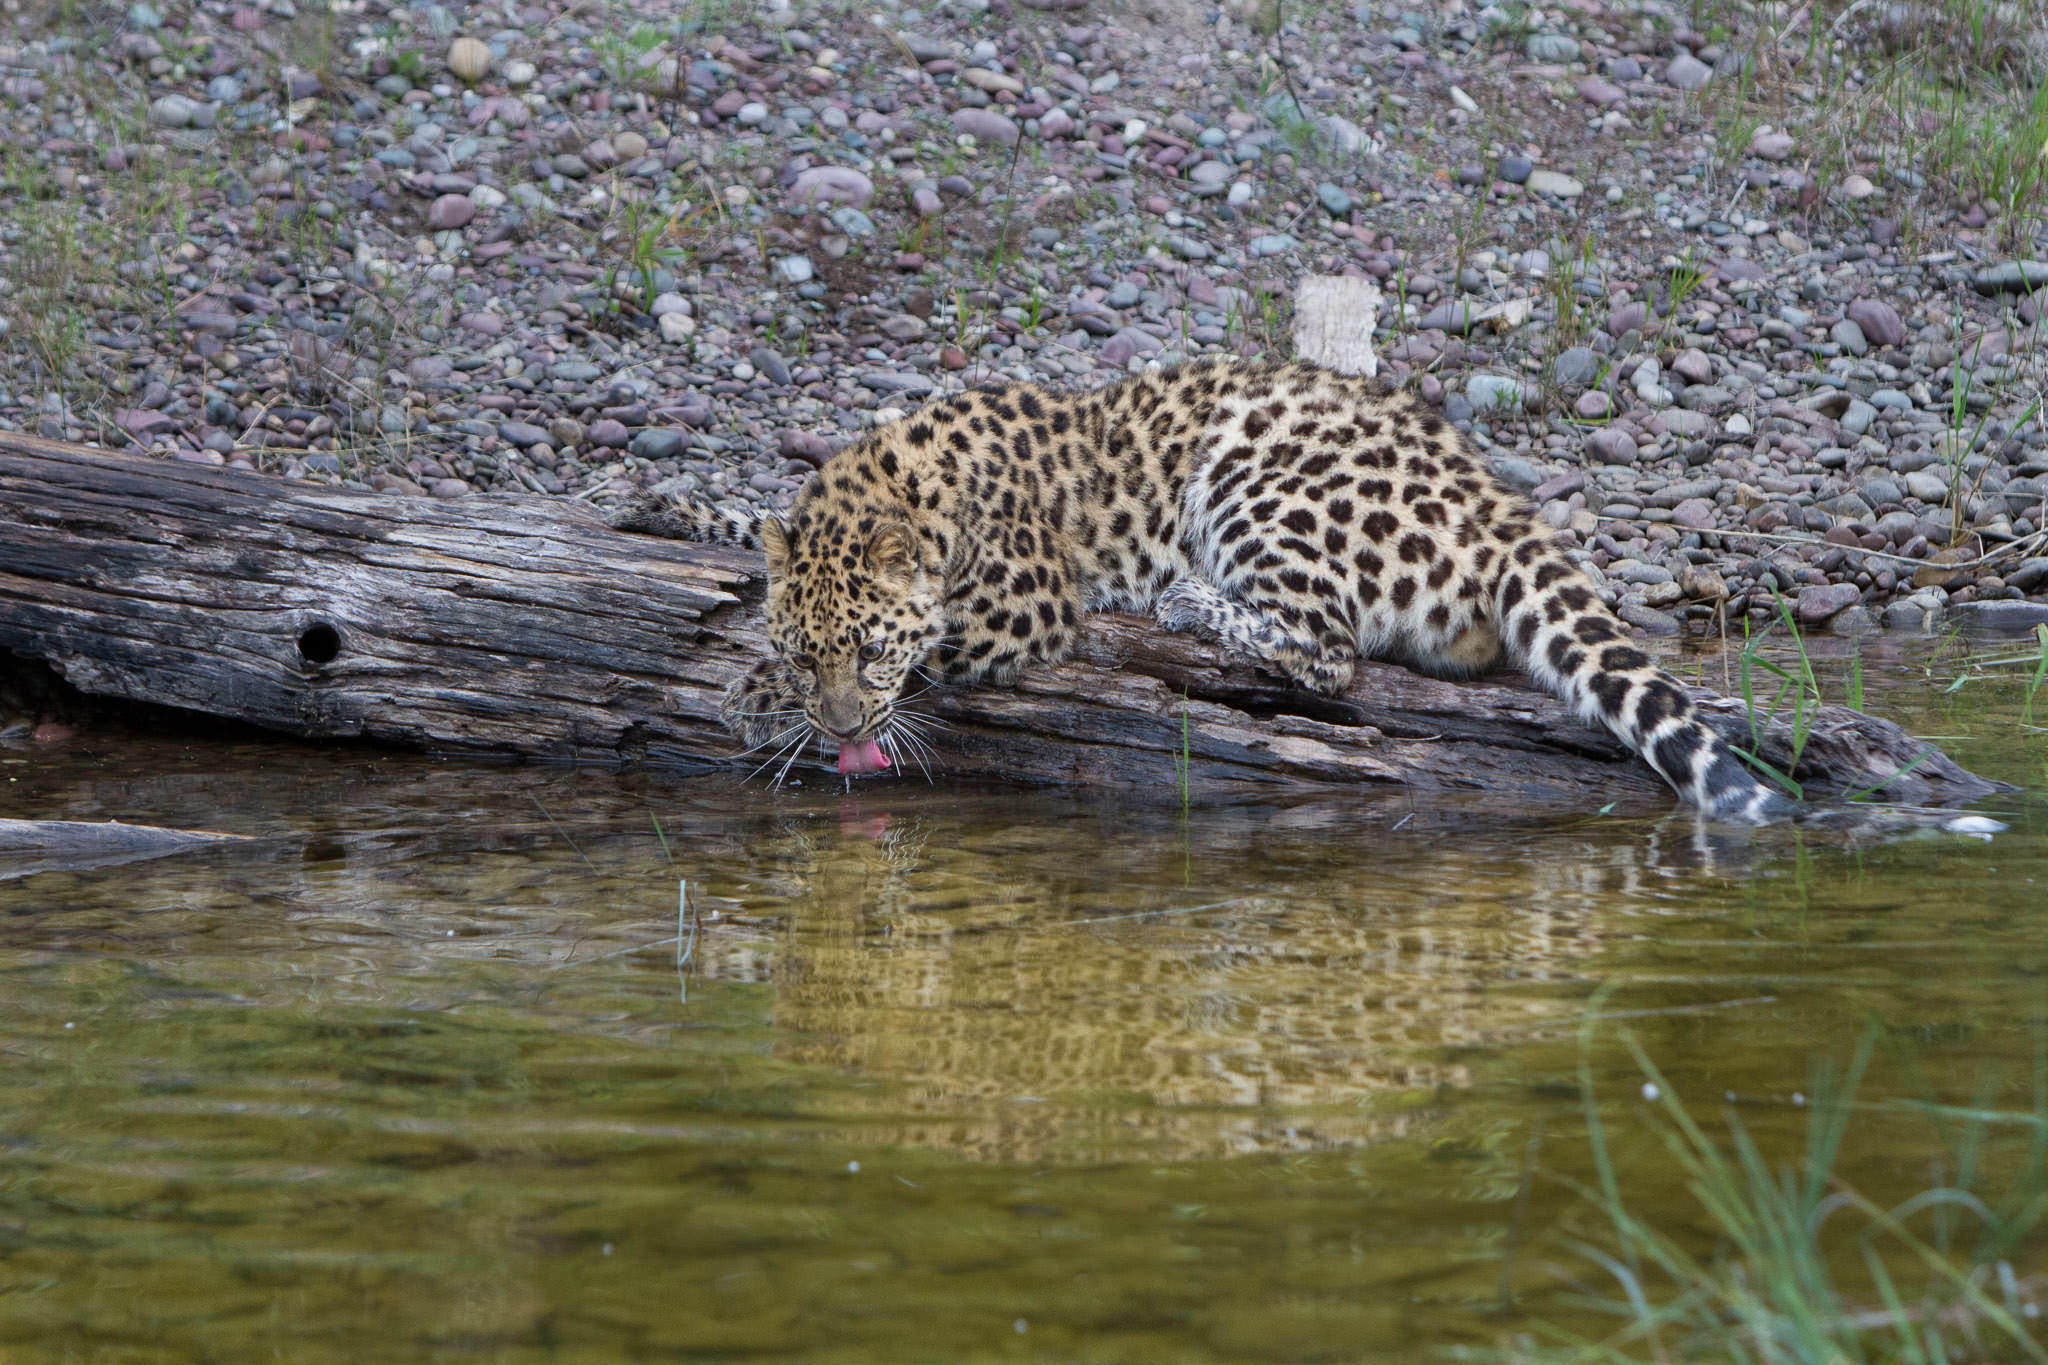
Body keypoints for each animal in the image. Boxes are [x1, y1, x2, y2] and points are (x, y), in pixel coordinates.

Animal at [606, 358, 1794, 822]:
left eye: (865, 649)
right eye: (811, 648)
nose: (844, 727)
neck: (896, 483)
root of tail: (1491, 495)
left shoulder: (1026, 608)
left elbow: (935, 646)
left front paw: (753, 697)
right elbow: (749, 520)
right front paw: (666, 504)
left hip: (1254, 469)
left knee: (1330, 651)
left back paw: (1187, 602)